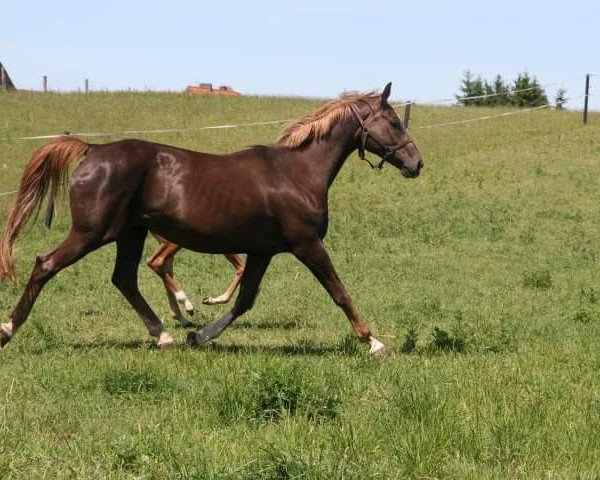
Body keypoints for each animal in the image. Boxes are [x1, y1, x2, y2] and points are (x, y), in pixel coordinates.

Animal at [0, 82, 422, 354]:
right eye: (394, 122)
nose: (416, 164)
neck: (297, 172)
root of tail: (93, 150)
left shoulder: (262, 251)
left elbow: (245, 300)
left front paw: (200, 336)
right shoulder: (307, 244)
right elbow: (339, 292)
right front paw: (374, 342)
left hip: (131, 233)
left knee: (124, 279)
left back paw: (165, 335)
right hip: (92, 232)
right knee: (45, 265)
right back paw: (7, 329)